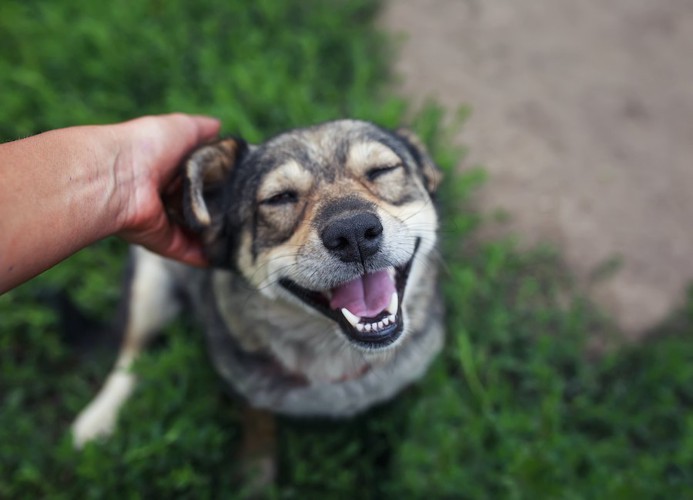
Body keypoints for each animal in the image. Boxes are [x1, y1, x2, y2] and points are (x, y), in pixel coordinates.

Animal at [70, 118, 444, 476]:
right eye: (280, 198)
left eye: (382, 170)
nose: (352, 233)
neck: (337, 356)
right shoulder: (248, 395)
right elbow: (259, 437)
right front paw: (254, 477)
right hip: (150, 288)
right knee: (130, 355)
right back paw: (97, 420)